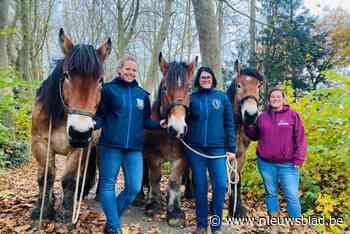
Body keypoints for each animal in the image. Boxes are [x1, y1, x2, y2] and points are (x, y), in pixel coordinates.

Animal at [31, 29, 111, 221]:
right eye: (66, 75)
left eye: (100, 80)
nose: (79, 133)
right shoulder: (40, 144)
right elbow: (46, 176)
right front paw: (43, 209)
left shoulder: (78, 149)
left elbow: (68, 180)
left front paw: (67, 212)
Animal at [142, 52, 197, 225]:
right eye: (165, 87)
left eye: (189, 88)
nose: (177, 128)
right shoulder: (151, 156)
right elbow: (155, 177)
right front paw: (153, 203)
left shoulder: (182, 158)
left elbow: (174, 180)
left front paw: (174, 211)